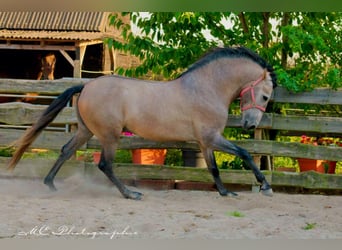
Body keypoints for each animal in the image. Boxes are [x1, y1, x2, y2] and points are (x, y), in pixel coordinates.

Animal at [6, 46, 276, 200]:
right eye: (265, 96)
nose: (250, 125)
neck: (206, 88)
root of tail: (86, 85)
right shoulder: (211, 138)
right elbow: (243, 154)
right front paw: (264, 186)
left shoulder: (205, 142)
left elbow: (215, 168)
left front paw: (225, 191)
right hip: (110, 136)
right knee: (105, 164)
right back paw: (131, 193)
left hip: (86, 132)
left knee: (65, 151)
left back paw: (50, 184)